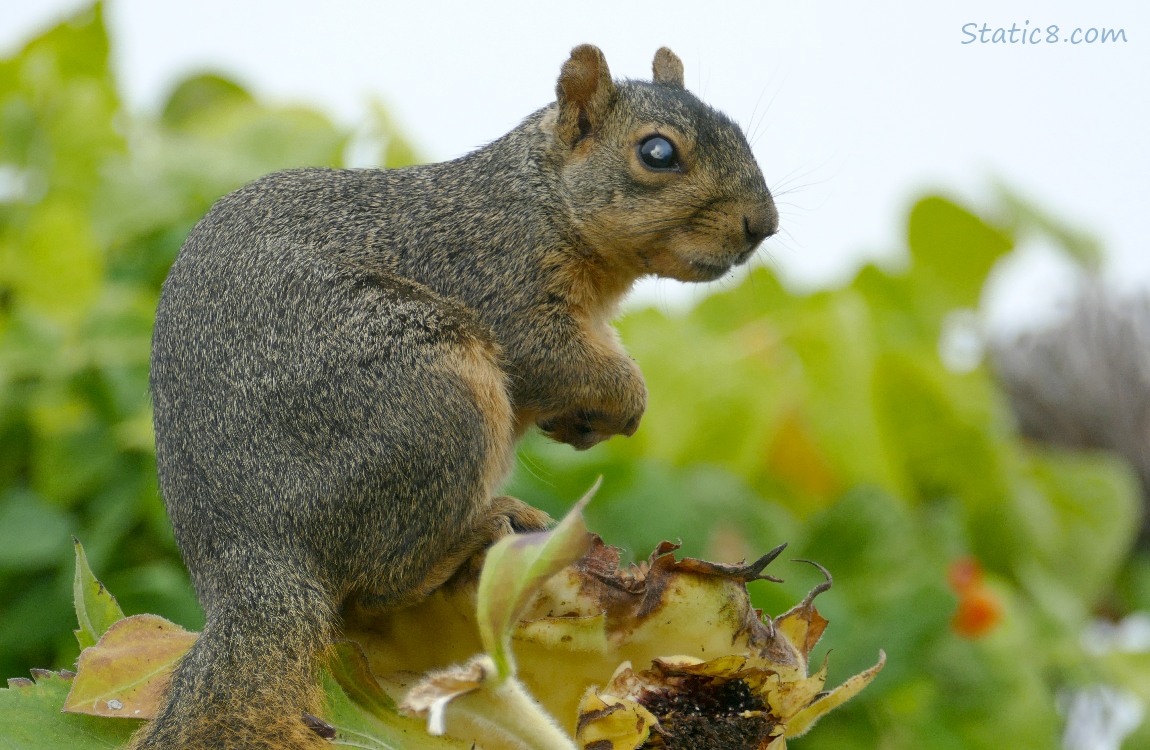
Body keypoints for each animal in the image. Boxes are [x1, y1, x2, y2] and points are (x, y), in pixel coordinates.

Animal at [130, 45, 777, 749]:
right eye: (657, 152)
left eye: (738, 129)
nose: (764, 224)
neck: (539, 200)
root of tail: (249, 555)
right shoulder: (501, 285)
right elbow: (552, 357)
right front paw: (625, 400)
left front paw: (584, 423)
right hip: (436, 399)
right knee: (381, 586)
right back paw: (485, 526)